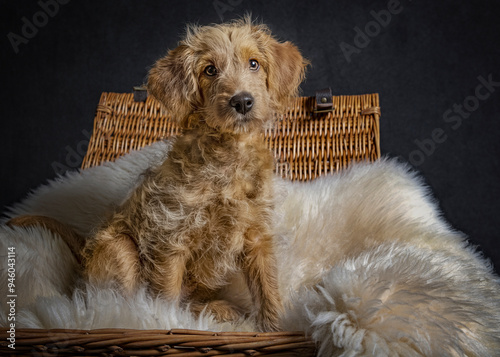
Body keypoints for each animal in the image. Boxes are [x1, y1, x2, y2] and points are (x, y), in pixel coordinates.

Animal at [8, 16, 308, 328]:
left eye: (254, 64)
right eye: (209, 70)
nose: (243, 102)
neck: (228, 156)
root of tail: (84, 253)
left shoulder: (257, 237)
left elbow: (267, 288)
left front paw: (274, 327)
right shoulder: (171, 237)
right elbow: (166, 296)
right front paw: (166, 322)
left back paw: (217, 309)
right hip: (122, 249)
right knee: (113, 301)